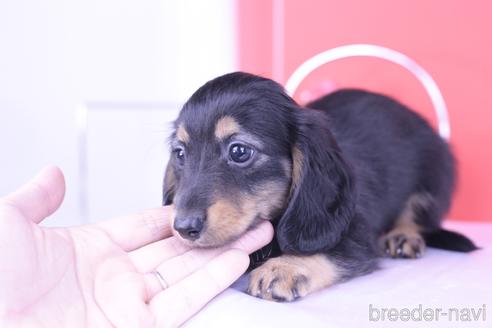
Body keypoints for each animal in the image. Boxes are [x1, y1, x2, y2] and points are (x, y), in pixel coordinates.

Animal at [162, 72, 476, 302]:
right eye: (180, 153)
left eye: (239, 151)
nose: (184, 228)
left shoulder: (357, 235)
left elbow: (328, 250)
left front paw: (285, 267)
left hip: (435, 172)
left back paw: (403, 236)